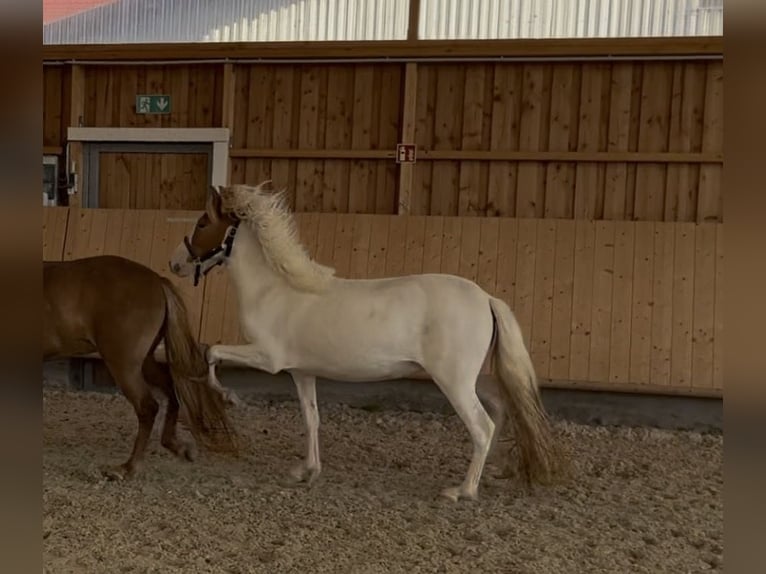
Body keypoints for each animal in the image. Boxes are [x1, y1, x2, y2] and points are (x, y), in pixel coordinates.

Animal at [44, 255, 240, 480]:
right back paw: (177, 447)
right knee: (171, 390)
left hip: (124, 365)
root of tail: (157, 281)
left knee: (148, 407)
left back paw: (128, 468)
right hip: (144, 362)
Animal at [169, 183, 565, 501]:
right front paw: (306, 471)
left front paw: (228, 396)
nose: (175, 264)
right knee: (498, 410)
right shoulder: (301, 371)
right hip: (469, 379)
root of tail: (485, 298)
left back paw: (462, 491)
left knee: (482, 426)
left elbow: (211, 352)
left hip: (452, 381)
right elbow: (311, 419)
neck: (275, 289)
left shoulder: (268, 358)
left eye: (202, 223)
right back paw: (493, 471)